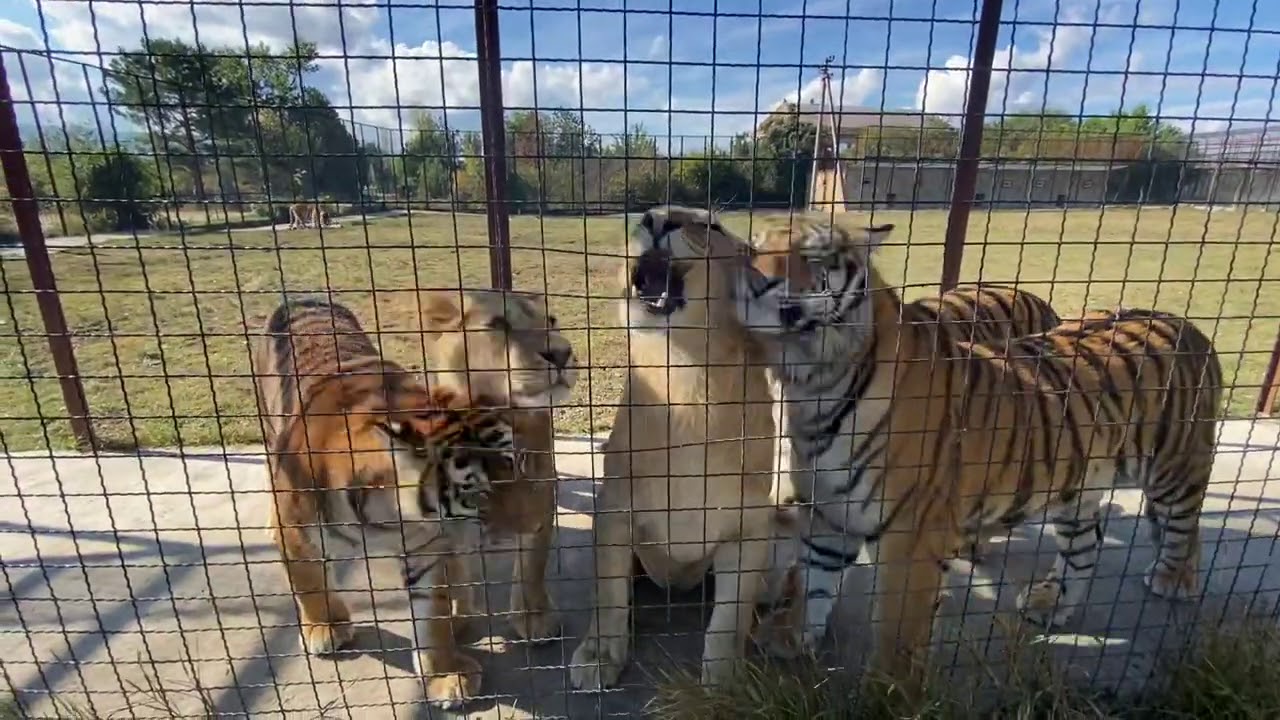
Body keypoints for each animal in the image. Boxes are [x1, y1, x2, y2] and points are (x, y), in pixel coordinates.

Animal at [252, 293, 532, 707]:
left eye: (516, 463)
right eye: (480, 491)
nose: (532, 525)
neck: (390, 517)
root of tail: (303, 297)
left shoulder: (426, 550)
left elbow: (431, 617)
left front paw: (445, 675)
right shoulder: (298, 532)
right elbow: (309, 582)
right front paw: (326, 627)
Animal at [732, 215, 1218, 686]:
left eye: (813, 255)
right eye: (756, 247)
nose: (753, 279)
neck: (811, 383)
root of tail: (1185, 323)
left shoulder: (912, 532)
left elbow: (897, 629)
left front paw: (888, 691)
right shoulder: (829, 509)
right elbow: (814, 578)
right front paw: (789, 636)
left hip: (1175, 466)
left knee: (1183, 525)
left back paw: (1173, 578)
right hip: (1078, 486)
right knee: (1084, 545)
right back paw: (1048, 601)